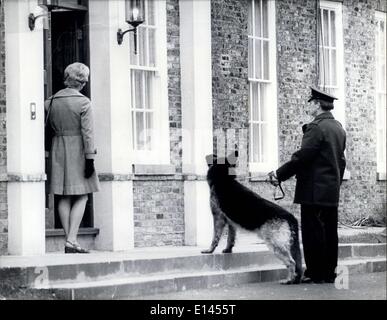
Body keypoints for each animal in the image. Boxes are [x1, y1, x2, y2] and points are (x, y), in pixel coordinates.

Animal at [203, 153, 304, 284]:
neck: (224, 178)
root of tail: (290, 216)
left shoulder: (218, 218)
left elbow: (215, 238)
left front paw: (209, 250)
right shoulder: (231, 222)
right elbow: (231, 238)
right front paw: (228, 250)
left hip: (275, 245)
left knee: (291, 262)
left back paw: (289, 280)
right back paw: (296, 279)